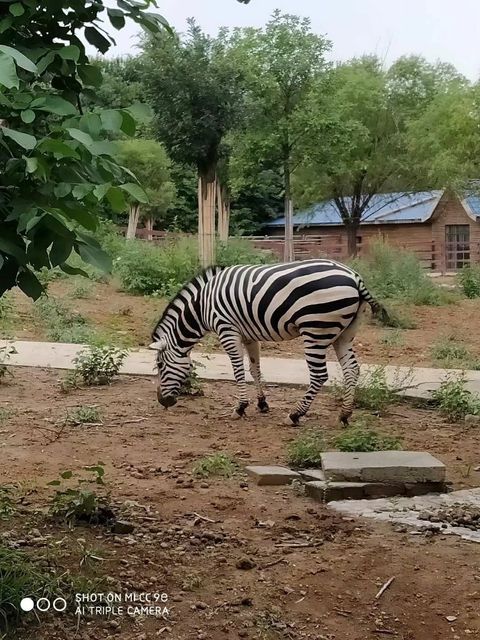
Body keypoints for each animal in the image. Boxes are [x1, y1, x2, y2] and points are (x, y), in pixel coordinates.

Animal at [150, 260, 390, 424]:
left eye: (160, 365)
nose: (162, 402)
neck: (202, 306)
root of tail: (354, 276)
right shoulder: (249, 335)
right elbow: (254, 369)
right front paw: (262, 403)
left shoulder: (226, 329)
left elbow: (238, 370)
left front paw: (240, 407)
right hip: (345, 333)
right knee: (352, 369)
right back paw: (344, 414)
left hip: (315, 330)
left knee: (319, 375)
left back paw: (295, 414)